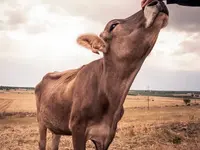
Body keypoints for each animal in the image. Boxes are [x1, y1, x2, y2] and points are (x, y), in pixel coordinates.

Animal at [35, 0, 169, 149]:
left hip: (56, 125)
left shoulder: (107, 134)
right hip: (41, 120)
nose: (156, 2)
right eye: (113, 25)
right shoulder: (77, 128)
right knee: (41, 142)